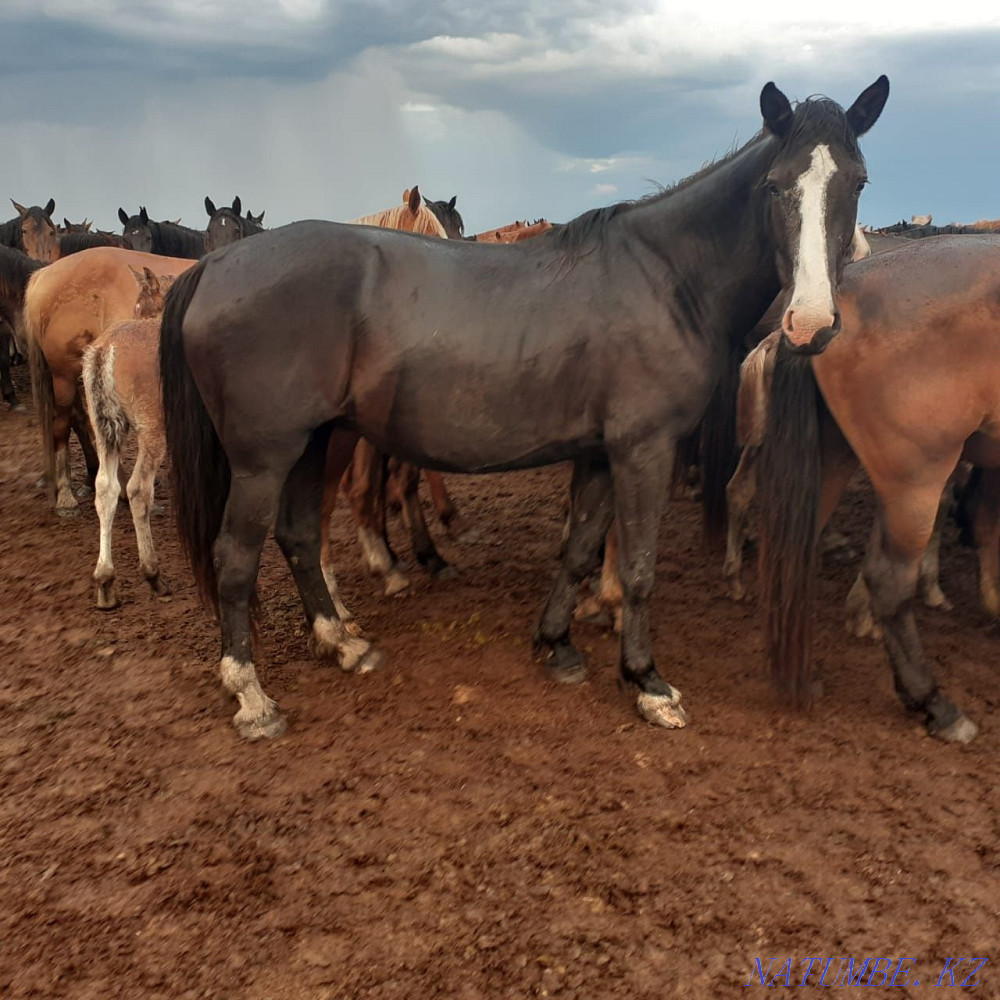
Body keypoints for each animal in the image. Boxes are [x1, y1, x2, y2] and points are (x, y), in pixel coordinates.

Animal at [82, 268, 178, 608]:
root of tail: (104, 350)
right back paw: (153, 574)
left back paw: (105, 582)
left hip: (105, 431)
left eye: (143, 307)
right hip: (151, 431)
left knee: (105, 489)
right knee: (137, 489)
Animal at [160, 78, 888, 740]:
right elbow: (639, 567)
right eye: (776, 185)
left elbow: (580, 549)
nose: (811, 324)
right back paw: (252, 697)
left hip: (313, 442)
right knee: (235, 559)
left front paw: (557, 644)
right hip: (264, 458)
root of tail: (216, 267)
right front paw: (647, 682)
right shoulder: (643, 450)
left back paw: (343, 643)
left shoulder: (600, 453)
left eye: (857, 183)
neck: (667, 278)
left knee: (300, 538)